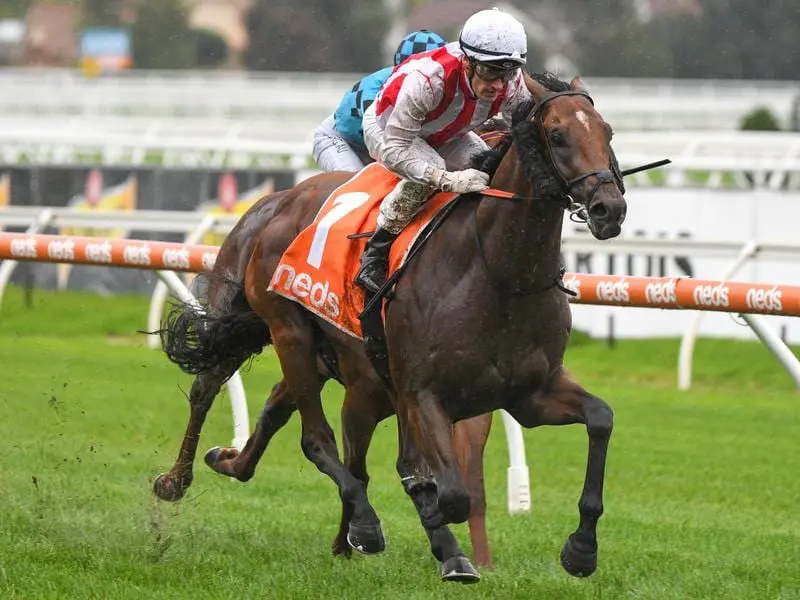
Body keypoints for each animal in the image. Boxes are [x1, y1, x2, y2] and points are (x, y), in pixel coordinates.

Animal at [153, 72, 628, 584]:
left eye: (608, 132)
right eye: (558, 135)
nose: (609, 209)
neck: (499, 273)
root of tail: (277, 202)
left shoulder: (529, 394)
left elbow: (601, 418)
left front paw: (580, 549)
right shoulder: (422, 394)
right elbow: (445, 490)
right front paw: (439, 544)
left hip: (331, 365)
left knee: (287, 416)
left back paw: (241, 468)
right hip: (283, 330)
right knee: (257, 411)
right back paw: (181, 483)